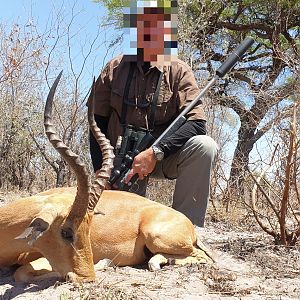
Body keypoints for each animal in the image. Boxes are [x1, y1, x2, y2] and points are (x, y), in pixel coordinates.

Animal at [0, 72, 213, 284]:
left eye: (88, 229)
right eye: (66, 232)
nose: (87, 278)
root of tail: (189, 225)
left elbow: (24, 273)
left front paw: (102, 263)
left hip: (156, 237)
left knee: (198, 257)